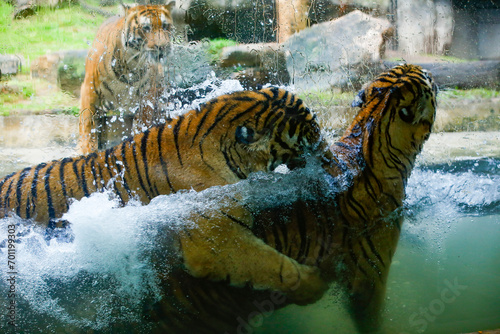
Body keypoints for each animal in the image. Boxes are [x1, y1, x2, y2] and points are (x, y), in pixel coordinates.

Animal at [79, 2, 177, 155]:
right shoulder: (89, 90)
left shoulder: (147, 95)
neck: (131, 64)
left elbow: (141, 125)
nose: (162, 47)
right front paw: (87, 151)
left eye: (165, 26)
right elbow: (88, 125)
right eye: (146, 28)